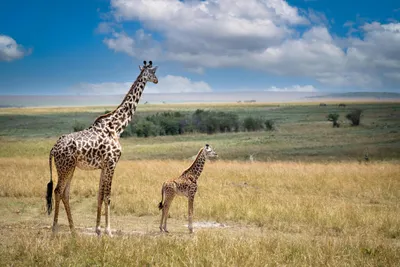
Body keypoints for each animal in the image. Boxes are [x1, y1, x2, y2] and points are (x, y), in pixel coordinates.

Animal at [46, 60, 159, 237]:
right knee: (58, 191)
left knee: (65, 193)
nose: (157, 80)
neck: (117, 127)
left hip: (70, 168)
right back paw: (55, 229)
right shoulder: (112, 163)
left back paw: (73, 231)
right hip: (65, 167)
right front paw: (109, 231)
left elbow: (99, 195)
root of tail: (53, 149)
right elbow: (107, 196)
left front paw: (98, 230)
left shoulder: (104, 166)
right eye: (153, 72)